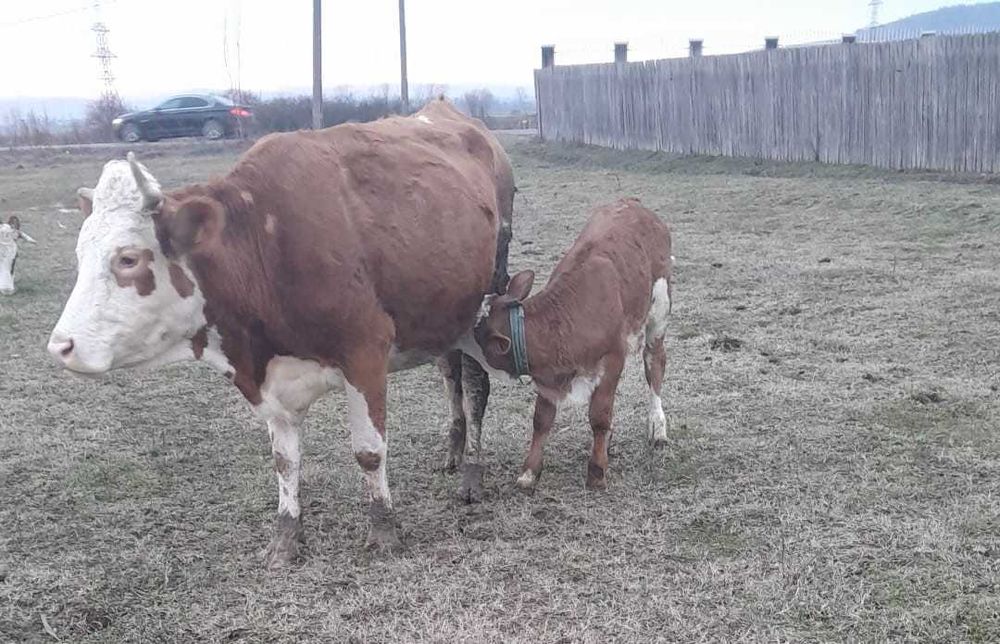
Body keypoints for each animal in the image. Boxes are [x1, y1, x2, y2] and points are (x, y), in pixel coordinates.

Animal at [47, 99, 514, 567]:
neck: (263, 244)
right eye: (80, 254)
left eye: (127, 259)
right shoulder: (272, 378)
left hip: (486, 297)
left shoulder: (366, 352)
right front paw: (286, 537)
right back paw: (453, 451)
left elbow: (368, 451)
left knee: (476, 385)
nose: (60, 346)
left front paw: (383, 530)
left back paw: (472, 473)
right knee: (450, 373)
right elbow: (284, 461)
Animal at [472, 198, 673, 492]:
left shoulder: (613, 357)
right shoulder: (547, 374)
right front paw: (529, 472)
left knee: (654, 364)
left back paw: (657, 427)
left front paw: (597, 472)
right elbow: (542, 419)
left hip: (658, 312)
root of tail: (632, 203)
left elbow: (599, 416)